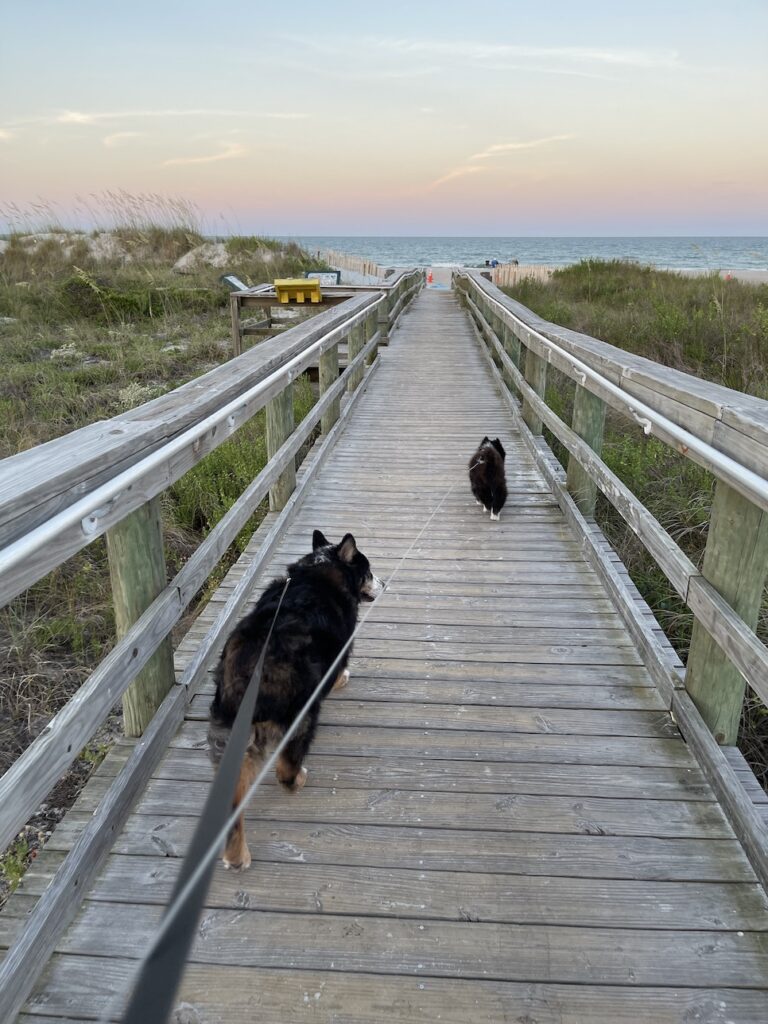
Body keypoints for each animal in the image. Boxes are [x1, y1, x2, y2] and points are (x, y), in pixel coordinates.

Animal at [208, 532, 382, 868]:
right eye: (368, 572)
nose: (384, 582)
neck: (322, 569)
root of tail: (249, 676)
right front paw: (342, 679)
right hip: (302, 716)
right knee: (285, 768)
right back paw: (298, 779)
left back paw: (236, 857)